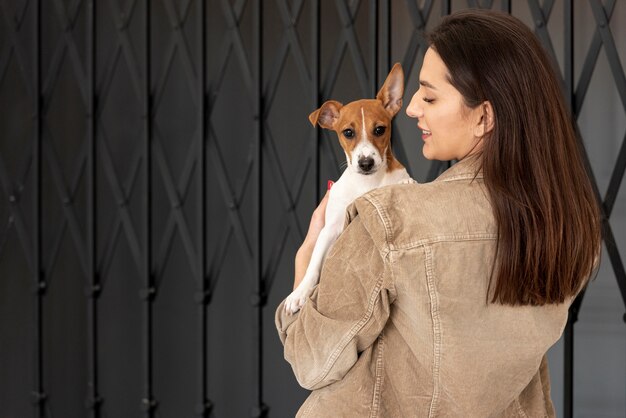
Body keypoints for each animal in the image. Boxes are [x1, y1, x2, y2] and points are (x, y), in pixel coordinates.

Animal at [284, 63, 414, 316]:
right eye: (348, 133)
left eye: (380, 129)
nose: (366, 163)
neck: (367, 183)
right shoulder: (328, 229)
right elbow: (314, 264)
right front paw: (300, 293)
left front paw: (406, 184)